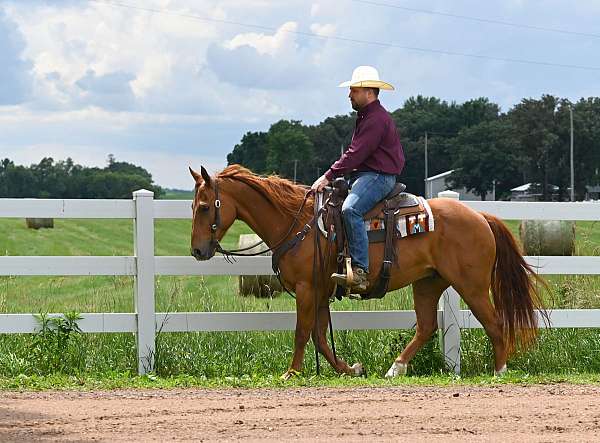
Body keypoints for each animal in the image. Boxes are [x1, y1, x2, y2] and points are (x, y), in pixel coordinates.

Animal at [190, 165, 548, 380]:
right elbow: (320, 337)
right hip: (428, 283)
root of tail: (480, 216)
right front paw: (351, 368)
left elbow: (303, 333)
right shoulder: (320, 292)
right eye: (193, 206)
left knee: (494, 323)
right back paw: (396, 368)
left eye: (206, 206)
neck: (300, 221)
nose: (197, 251)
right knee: (427, 326)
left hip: (471, 286)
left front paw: (291, 373)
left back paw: (499, 371)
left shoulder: (307, 289)